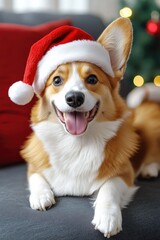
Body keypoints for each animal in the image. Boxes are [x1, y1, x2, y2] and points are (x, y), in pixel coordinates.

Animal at [15, 17, 159, 237]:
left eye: (92, 79)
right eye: (57, 80)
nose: (74, 98)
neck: (76, 142)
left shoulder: (124, 174)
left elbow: (109, 188)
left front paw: (108, 217)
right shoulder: (34, 166)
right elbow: (36, 177)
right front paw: (41, 196)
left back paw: (150, 168)